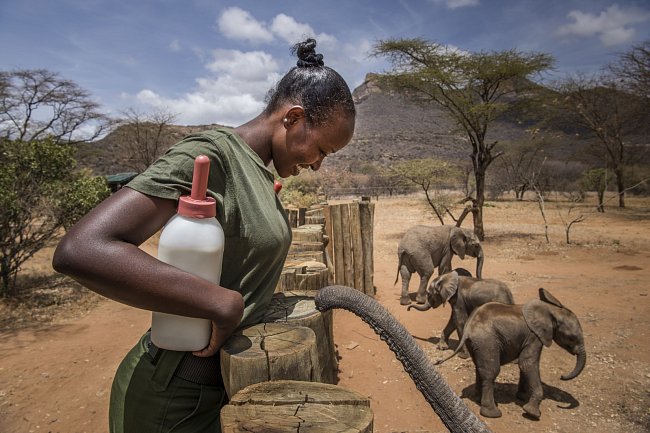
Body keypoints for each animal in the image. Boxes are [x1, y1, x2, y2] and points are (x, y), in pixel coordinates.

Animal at [436, 286, 584, 418]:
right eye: (572, 337)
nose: (562, 376)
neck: (550, 310)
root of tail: (468, 329)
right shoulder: (534, 336)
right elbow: (527, 364)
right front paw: (532, 413)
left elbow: (525, 365)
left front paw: (522, 398)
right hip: (487, 341)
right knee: (491, 372)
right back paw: (492, 413)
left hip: (478, 343)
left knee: (480, 367)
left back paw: (478, 399)